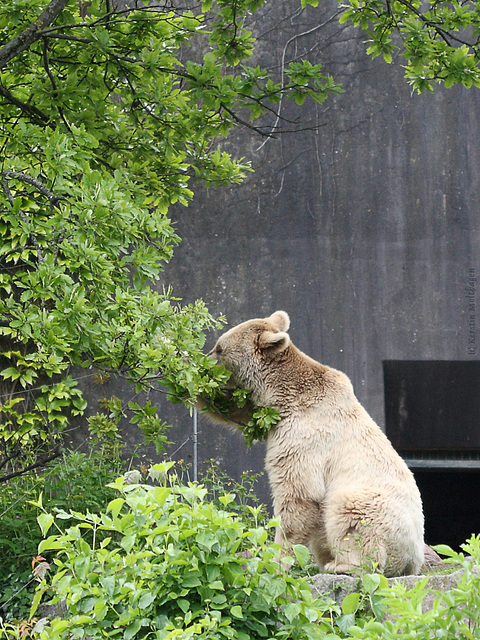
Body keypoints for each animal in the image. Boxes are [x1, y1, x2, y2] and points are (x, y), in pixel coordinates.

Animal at [205, 312, 424, 576]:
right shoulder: (270, 417)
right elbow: (238, 411)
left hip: (381, 516)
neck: (289, 394)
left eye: (219, 348)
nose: (205, 360)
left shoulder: (306, 433)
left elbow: (299, 495)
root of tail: (413, 562)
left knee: (351, 513)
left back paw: (342, 564)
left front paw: (276, 559)